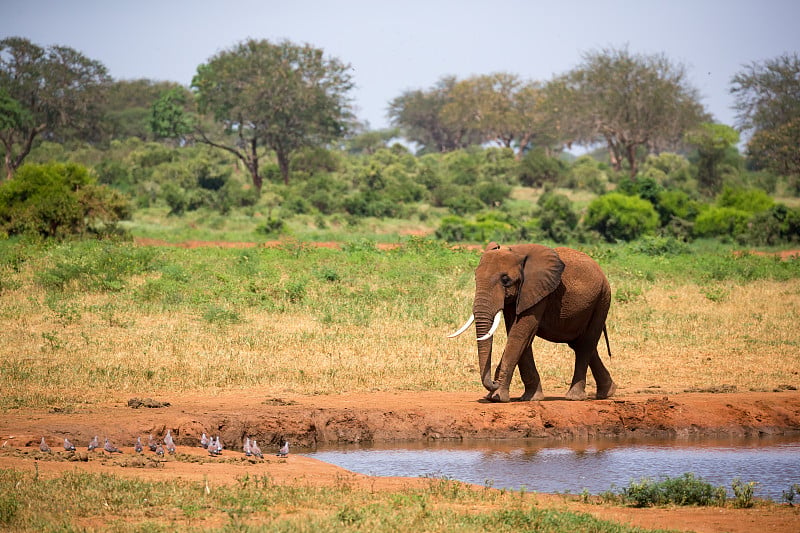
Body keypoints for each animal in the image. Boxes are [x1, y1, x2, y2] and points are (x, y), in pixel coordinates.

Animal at [446, 243, 616, 402]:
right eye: (476, 278)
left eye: (505, 280)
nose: (494, 382)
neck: (516, 251)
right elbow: (517, 333)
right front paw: (530, 398)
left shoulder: (537, 289)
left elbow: (520, 332)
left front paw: (497, 397)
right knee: (580, 344)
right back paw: (607, 392)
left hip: (602, 299)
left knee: (586, 343)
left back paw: (574, 397)